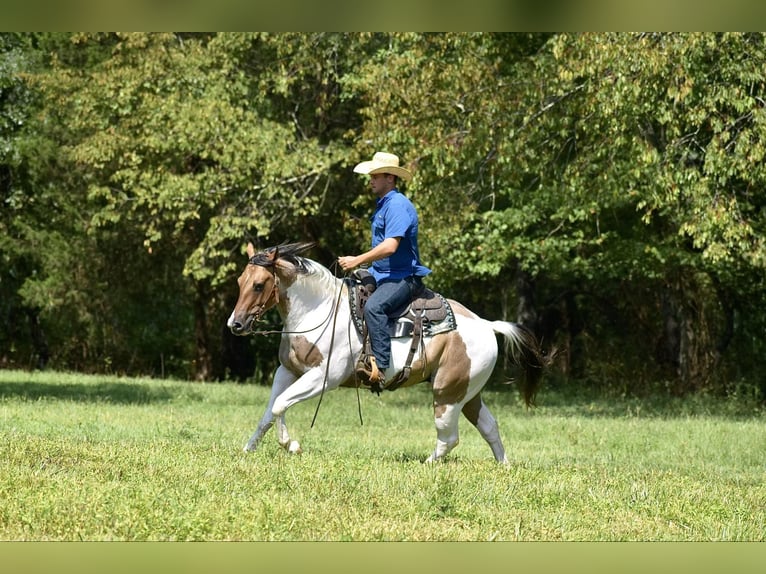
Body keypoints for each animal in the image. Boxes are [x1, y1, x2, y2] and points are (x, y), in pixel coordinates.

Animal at [225, 242, 548, 464]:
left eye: (259, 285)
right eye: (240, 282)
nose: (235, 324)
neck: (318, 310)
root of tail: (487, 325)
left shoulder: (322, 378)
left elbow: (281, 405)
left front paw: (291, 445)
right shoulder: (287, 371)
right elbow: (269, 413)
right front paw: (248, 449)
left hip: (447, 394)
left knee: (449, 437)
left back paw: (427, 464)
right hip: (468, 393)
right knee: (489, 427)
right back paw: (504, 466)